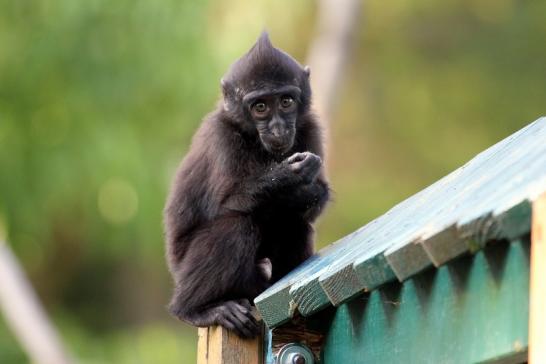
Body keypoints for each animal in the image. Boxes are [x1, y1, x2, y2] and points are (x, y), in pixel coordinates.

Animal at [164, 32, 328, 336]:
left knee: (294, 222)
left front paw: (306, 188)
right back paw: (195, 309)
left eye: (286, 101)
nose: (278, 129)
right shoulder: (222, 137)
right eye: (260, 107)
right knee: (235, 225)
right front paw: (289, 175)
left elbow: (312, 205)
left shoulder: (311, 126)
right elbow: (226, 206)